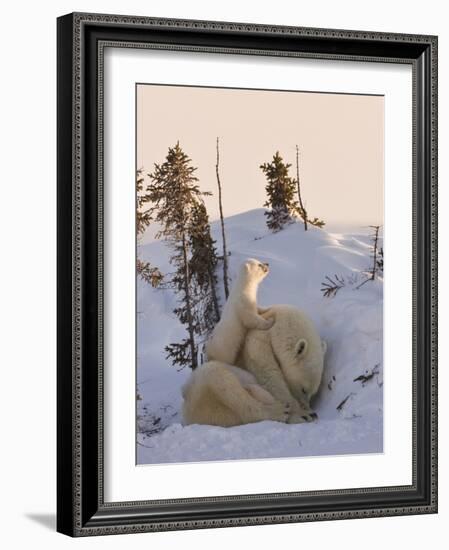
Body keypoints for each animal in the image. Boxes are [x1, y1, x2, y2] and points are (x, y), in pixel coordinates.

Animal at [182, 306, 326, 426]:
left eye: (313, 393)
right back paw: (280, 411)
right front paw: (304, 414)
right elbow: (270, 376)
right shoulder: (256, 342)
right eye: (304, 389)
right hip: (201, 390)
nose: (308, 406)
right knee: (225, 384)